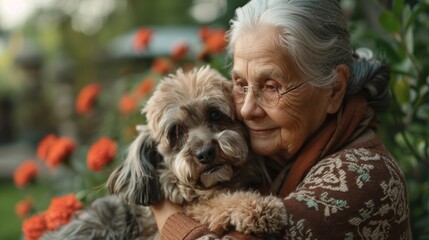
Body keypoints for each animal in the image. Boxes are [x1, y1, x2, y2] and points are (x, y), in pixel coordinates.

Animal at [106, 66, 286, 238]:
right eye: (176, 131)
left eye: (215, 114)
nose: (205, 153)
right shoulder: (194, 205)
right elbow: (217, 203)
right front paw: (259, 208)